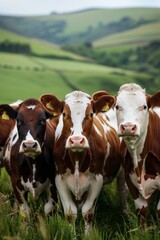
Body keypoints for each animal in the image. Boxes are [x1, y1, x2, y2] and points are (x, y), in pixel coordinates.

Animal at [40, 91, 125, 235]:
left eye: (90, 114)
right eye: (64, 114)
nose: (76, 140)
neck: (77, 159)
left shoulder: (97, 179)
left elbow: (88, 212)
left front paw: (88, 235)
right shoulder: (59, 179)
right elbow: (70, 213)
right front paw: (71, 234)